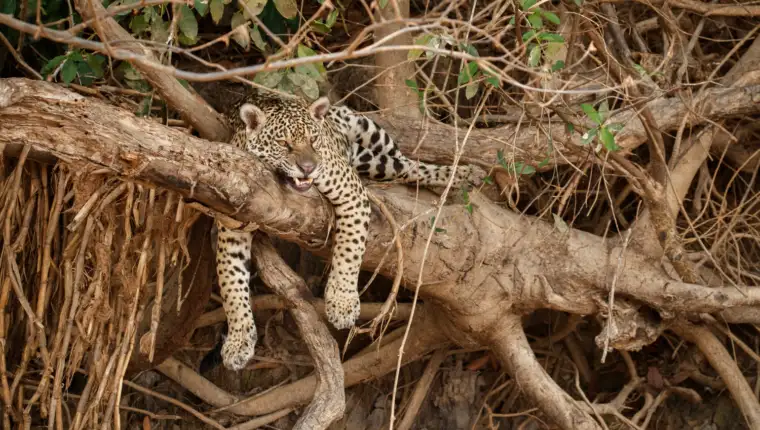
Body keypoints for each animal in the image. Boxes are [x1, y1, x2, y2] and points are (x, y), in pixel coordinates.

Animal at [216, 92, 485, 371]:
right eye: (284, 143)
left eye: (313, 140)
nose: (308, 167)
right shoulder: (231, 224)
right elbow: (230, 282)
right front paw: (238, 341)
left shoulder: (351, 192)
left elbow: (349, 250)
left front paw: (342, 303)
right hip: (372, 160)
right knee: (404, 167)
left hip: (370, 133)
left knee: (409, 164)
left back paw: (466, 174)